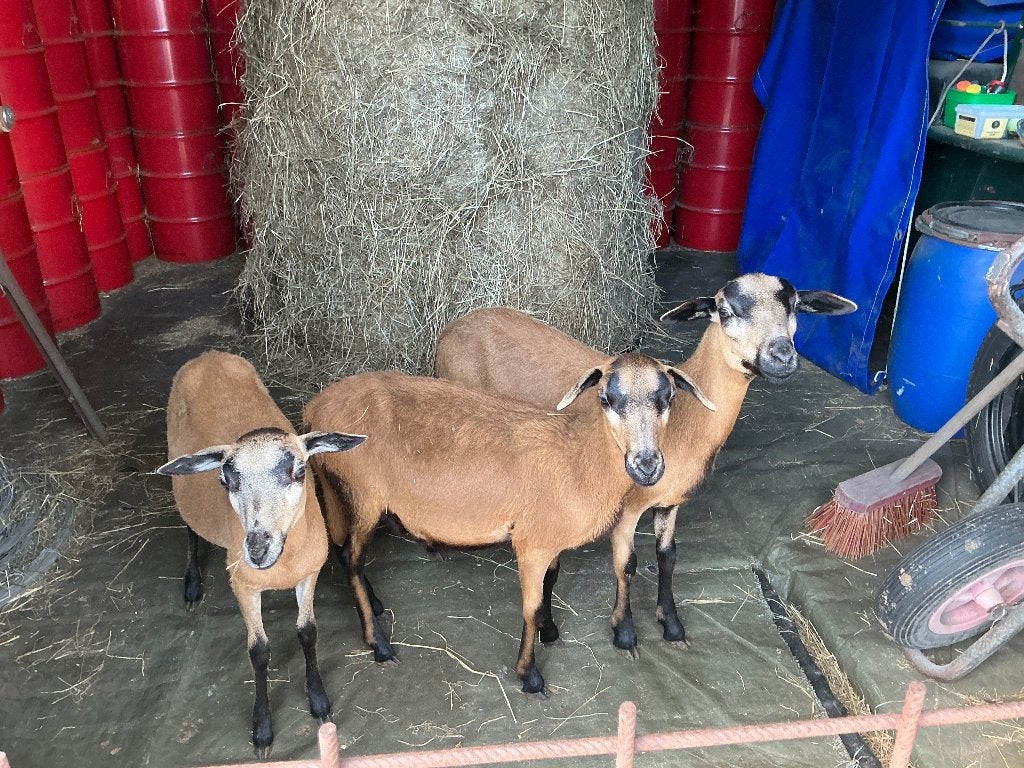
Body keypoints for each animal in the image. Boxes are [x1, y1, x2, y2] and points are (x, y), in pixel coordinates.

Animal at [155, 350, 366, 756]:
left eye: (299, 471)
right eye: (226, 480)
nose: (256, 549)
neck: (283, 562)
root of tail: (207, 356)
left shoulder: (309, 574)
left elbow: (308, 632)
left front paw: (319, 702)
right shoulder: (243, 585)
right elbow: (259, 651)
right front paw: (263, 730)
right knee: (189, 527)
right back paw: (192, 586)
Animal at [303, 352, 715, 694]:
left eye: (669, 398)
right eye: (606, 400)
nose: (647, 466)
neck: (578, 458)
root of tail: (315, 407)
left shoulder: (547, 537)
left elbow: (552, 580)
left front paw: (550, 630)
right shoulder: (531, 544)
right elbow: (529, 607)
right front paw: (529, 675)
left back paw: (373, 606)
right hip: (364, 494)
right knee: (350, 557)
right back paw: (379, 645)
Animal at [435, 273, 857, 653]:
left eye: (795, 306)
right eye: (724, 311)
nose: (782, 356)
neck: (690, 420)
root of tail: (452, 328)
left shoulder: (670, 504)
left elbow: (667, 559)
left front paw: (671, 625)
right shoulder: (626, 508)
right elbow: (627, 565)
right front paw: (624, 634)